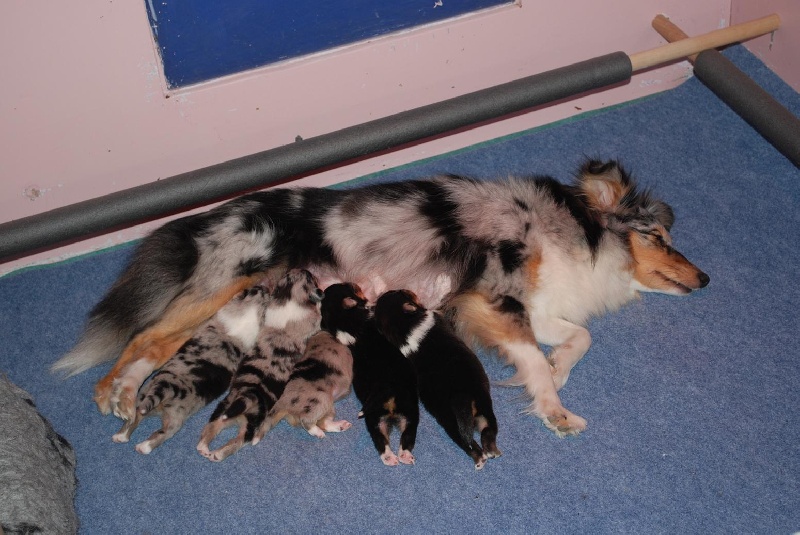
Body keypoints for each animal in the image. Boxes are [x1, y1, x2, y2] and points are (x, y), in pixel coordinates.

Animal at [53, 158, 708, 436]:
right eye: (659, 237)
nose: (704, 280)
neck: (569, 231)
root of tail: (214, 214)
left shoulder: (538, 307)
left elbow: (578, 336)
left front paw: (562, 368)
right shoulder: (489, 300)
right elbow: (535, 363)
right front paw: (555, 409)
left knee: (159, 339)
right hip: (221, 285)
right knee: (146, 335)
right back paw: (116, 394)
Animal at [111, 282, 270, 454]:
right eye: (258, 291)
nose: (265, 287)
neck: (248, 316)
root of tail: (170, 390)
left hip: (163, 406)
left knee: (153, 426)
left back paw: (140, 445)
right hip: (161, 406)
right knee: (142, 421)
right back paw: (123, 437)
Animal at [197, 270, 322, 462]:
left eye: (288, 274)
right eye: (310, 278)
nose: (309, 271)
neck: (288, 295)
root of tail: (248, 394)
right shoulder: (312, 320)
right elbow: (318, 314)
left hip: (224, 407)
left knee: (213, 427)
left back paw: (204, 448)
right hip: (252, 423)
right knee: (239, 440)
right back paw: (218, 453)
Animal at [320, 282, 418, 466]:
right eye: (351, 287)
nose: (353, 283)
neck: (343, 317)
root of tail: (387, 390)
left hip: (387, 416)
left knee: (391, 439)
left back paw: (397, 457)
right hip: (394, 414)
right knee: (395, 439)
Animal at [376, 292, 500, 472]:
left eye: (393, 293)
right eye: (403, 292)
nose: (382, 295)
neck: (404, 326)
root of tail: (460, 397)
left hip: (482, 406)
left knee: (486, 432)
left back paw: (491, 451)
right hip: (458, 420)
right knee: (473, 442)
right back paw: (481, 459)